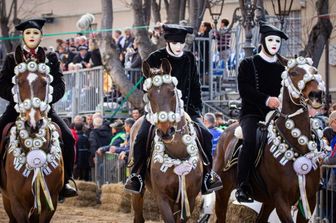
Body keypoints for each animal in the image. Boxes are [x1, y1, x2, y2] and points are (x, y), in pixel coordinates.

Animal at [214, 56, 326, 223]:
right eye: (293, 73)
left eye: (315, 71)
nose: (316, 95)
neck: (297, 146)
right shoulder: (281, 200)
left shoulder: (309, 199)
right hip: (223, 192)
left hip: (268, 201)